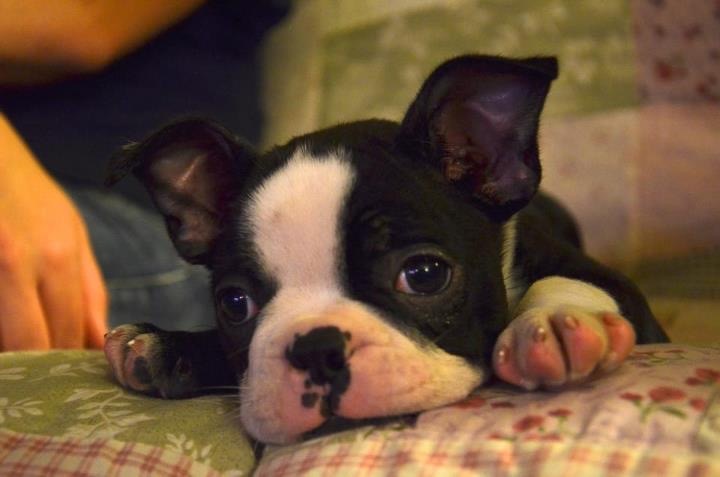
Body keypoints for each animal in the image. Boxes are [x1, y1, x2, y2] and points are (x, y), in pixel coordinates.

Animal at [102, 54, 668, 442]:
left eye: (424, 275)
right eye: (234, 304)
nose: (317, 347)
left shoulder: (617, 291)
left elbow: (562, 281)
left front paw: (550, 326)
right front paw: (166, 346)